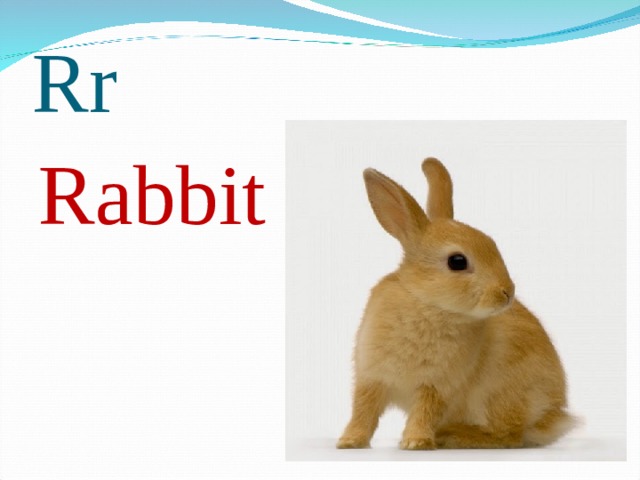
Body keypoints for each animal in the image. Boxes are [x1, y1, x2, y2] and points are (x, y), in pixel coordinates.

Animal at [337, 158, 576, 450]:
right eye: (457, 261)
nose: (507, 292)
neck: (428, 304)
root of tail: (552, 417)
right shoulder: (372, 377)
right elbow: (363, 411)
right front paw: (349, 442)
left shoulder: (436, 385)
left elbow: (423, 412)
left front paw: (416, 443)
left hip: (498, 394)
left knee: (509, 435)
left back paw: (454, 435)